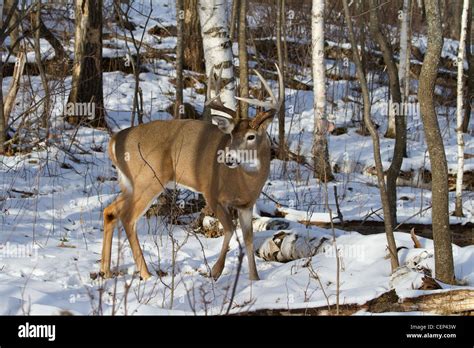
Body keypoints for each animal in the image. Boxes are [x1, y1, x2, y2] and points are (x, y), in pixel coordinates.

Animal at [100, 65, 284, 282]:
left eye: (251, 136)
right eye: (231, 135)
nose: (228, 158)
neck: (243, 182)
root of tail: (113, 141)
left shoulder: (247, 205)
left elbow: (248, 238)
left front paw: (254, 278)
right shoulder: (211, 192)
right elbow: (230, 229)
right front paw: (216, 270)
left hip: (130, 183)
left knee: (110, 211)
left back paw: (105, 271)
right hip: (148, 178)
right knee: (128, 217)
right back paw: (146, 274)